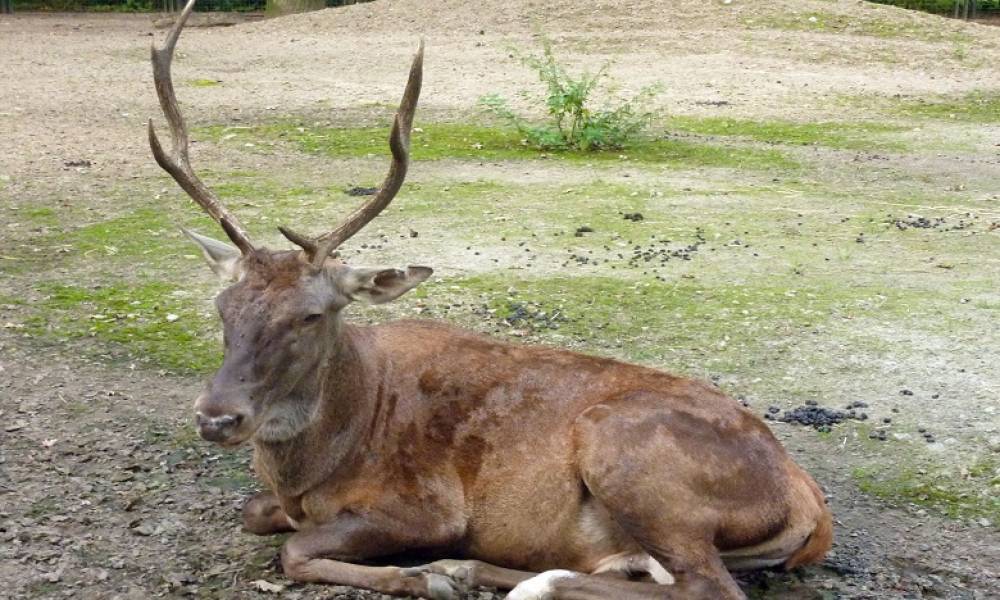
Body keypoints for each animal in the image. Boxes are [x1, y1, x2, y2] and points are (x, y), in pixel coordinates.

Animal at [148, 2, 832, 596]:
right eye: (222, 308)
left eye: (311, 315)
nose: (217, 417)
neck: (323, 461)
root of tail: (809, 502)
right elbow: (256, 513)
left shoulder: (427, 506)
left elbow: (294, 548)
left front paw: (417, 577)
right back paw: (479, 570)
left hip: (628, 452)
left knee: (704, 586)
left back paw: (500, 579)